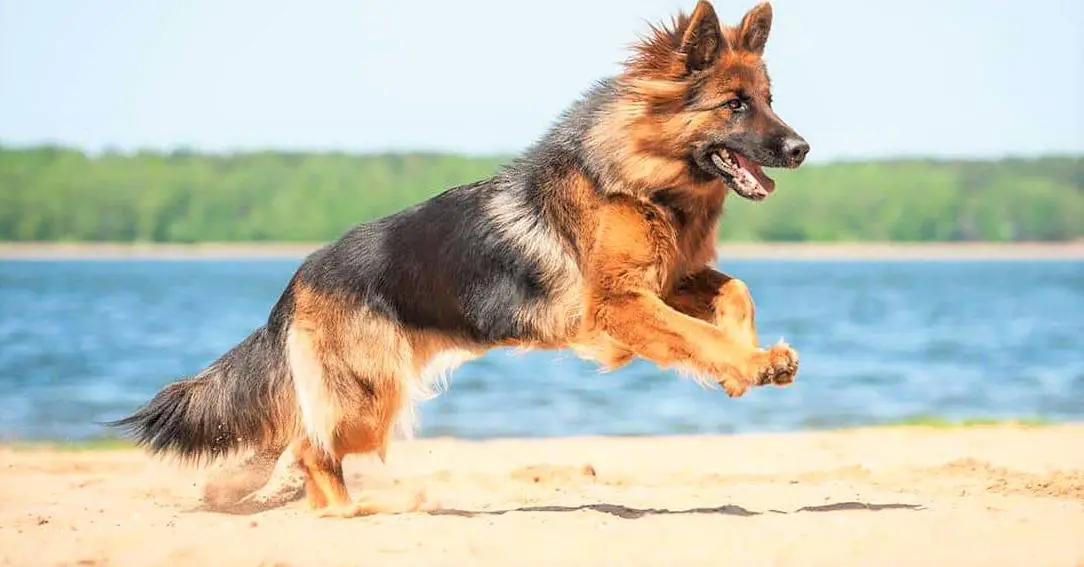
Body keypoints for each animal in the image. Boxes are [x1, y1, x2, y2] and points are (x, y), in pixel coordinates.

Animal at [112, 0, 806, 516]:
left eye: (770, 100)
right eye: (736, 105)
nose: (801, 148)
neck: (644, 177)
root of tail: (297, 280)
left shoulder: (667, 280)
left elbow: (735, 290)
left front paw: (750, 359)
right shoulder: (621, 302)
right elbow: (694, 333)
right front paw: (747, 362)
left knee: (301, 445)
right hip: (370, 399)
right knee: (311, 449)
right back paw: (348, 513)